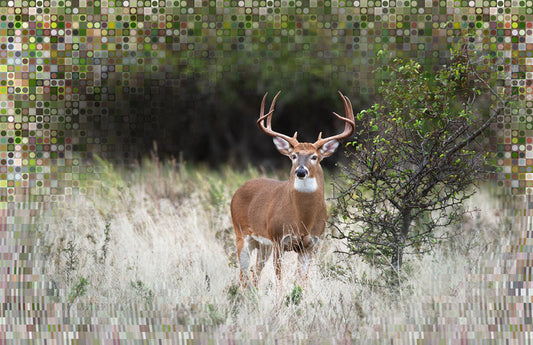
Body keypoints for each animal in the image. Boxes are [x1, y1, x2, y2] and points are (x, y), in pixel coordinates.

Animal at [231, 90, 356, 286]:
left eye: (314, 156)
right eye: (293, 156)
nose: (301, 171)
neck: (302, 220)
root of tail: (239, 189)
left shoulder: (310, 244)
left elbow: (301, 282)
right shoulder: (278, 239)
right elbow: (280, 281)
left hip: (263, 245)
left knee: (255, 274)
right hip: (242, 234)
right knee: (243, 277)